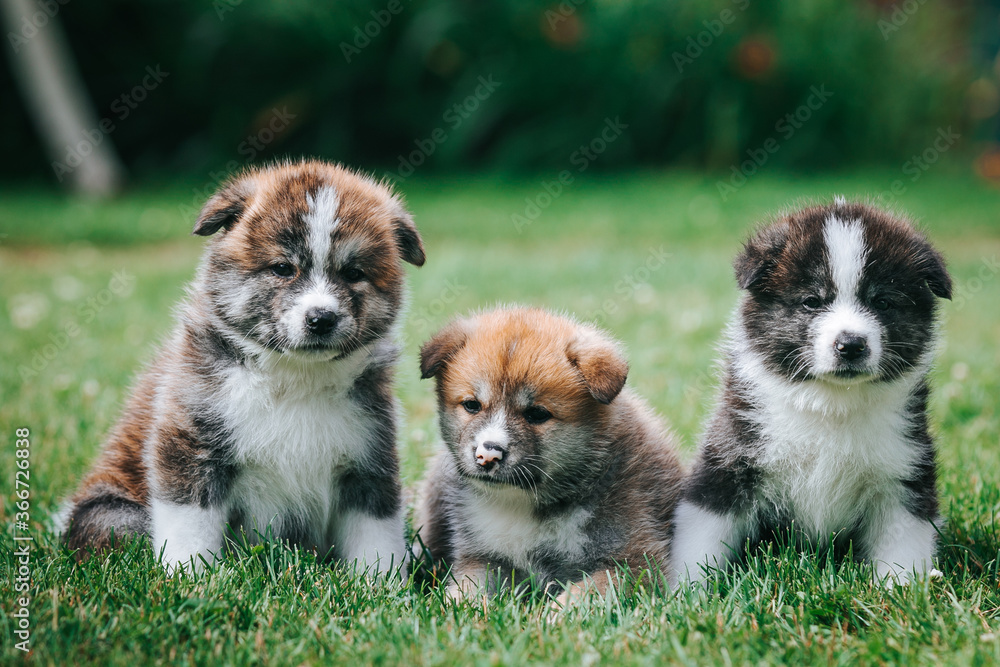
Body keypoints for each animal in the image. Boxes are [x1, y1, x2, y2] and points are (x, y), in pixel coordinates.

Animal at [57, 160, 426, 576]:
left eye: (353, 273)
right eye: (282, 268)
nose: (321, 319)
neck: (294, 378)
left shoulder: (369, 460)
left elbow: (376, 539)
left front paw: (383, 584)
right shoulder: (190, 445)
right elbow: (190, 528)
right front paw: (189, 578)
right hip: (113, 516)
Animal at [410, 310, 684, 604]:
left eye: (537, 414)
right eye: (472, 405)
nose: (487, 455)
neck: (522, 504)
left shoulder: (637, 562)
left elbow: (584, 592)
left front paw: (552, 612)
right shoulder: (482, 558)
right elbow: (466, 590)